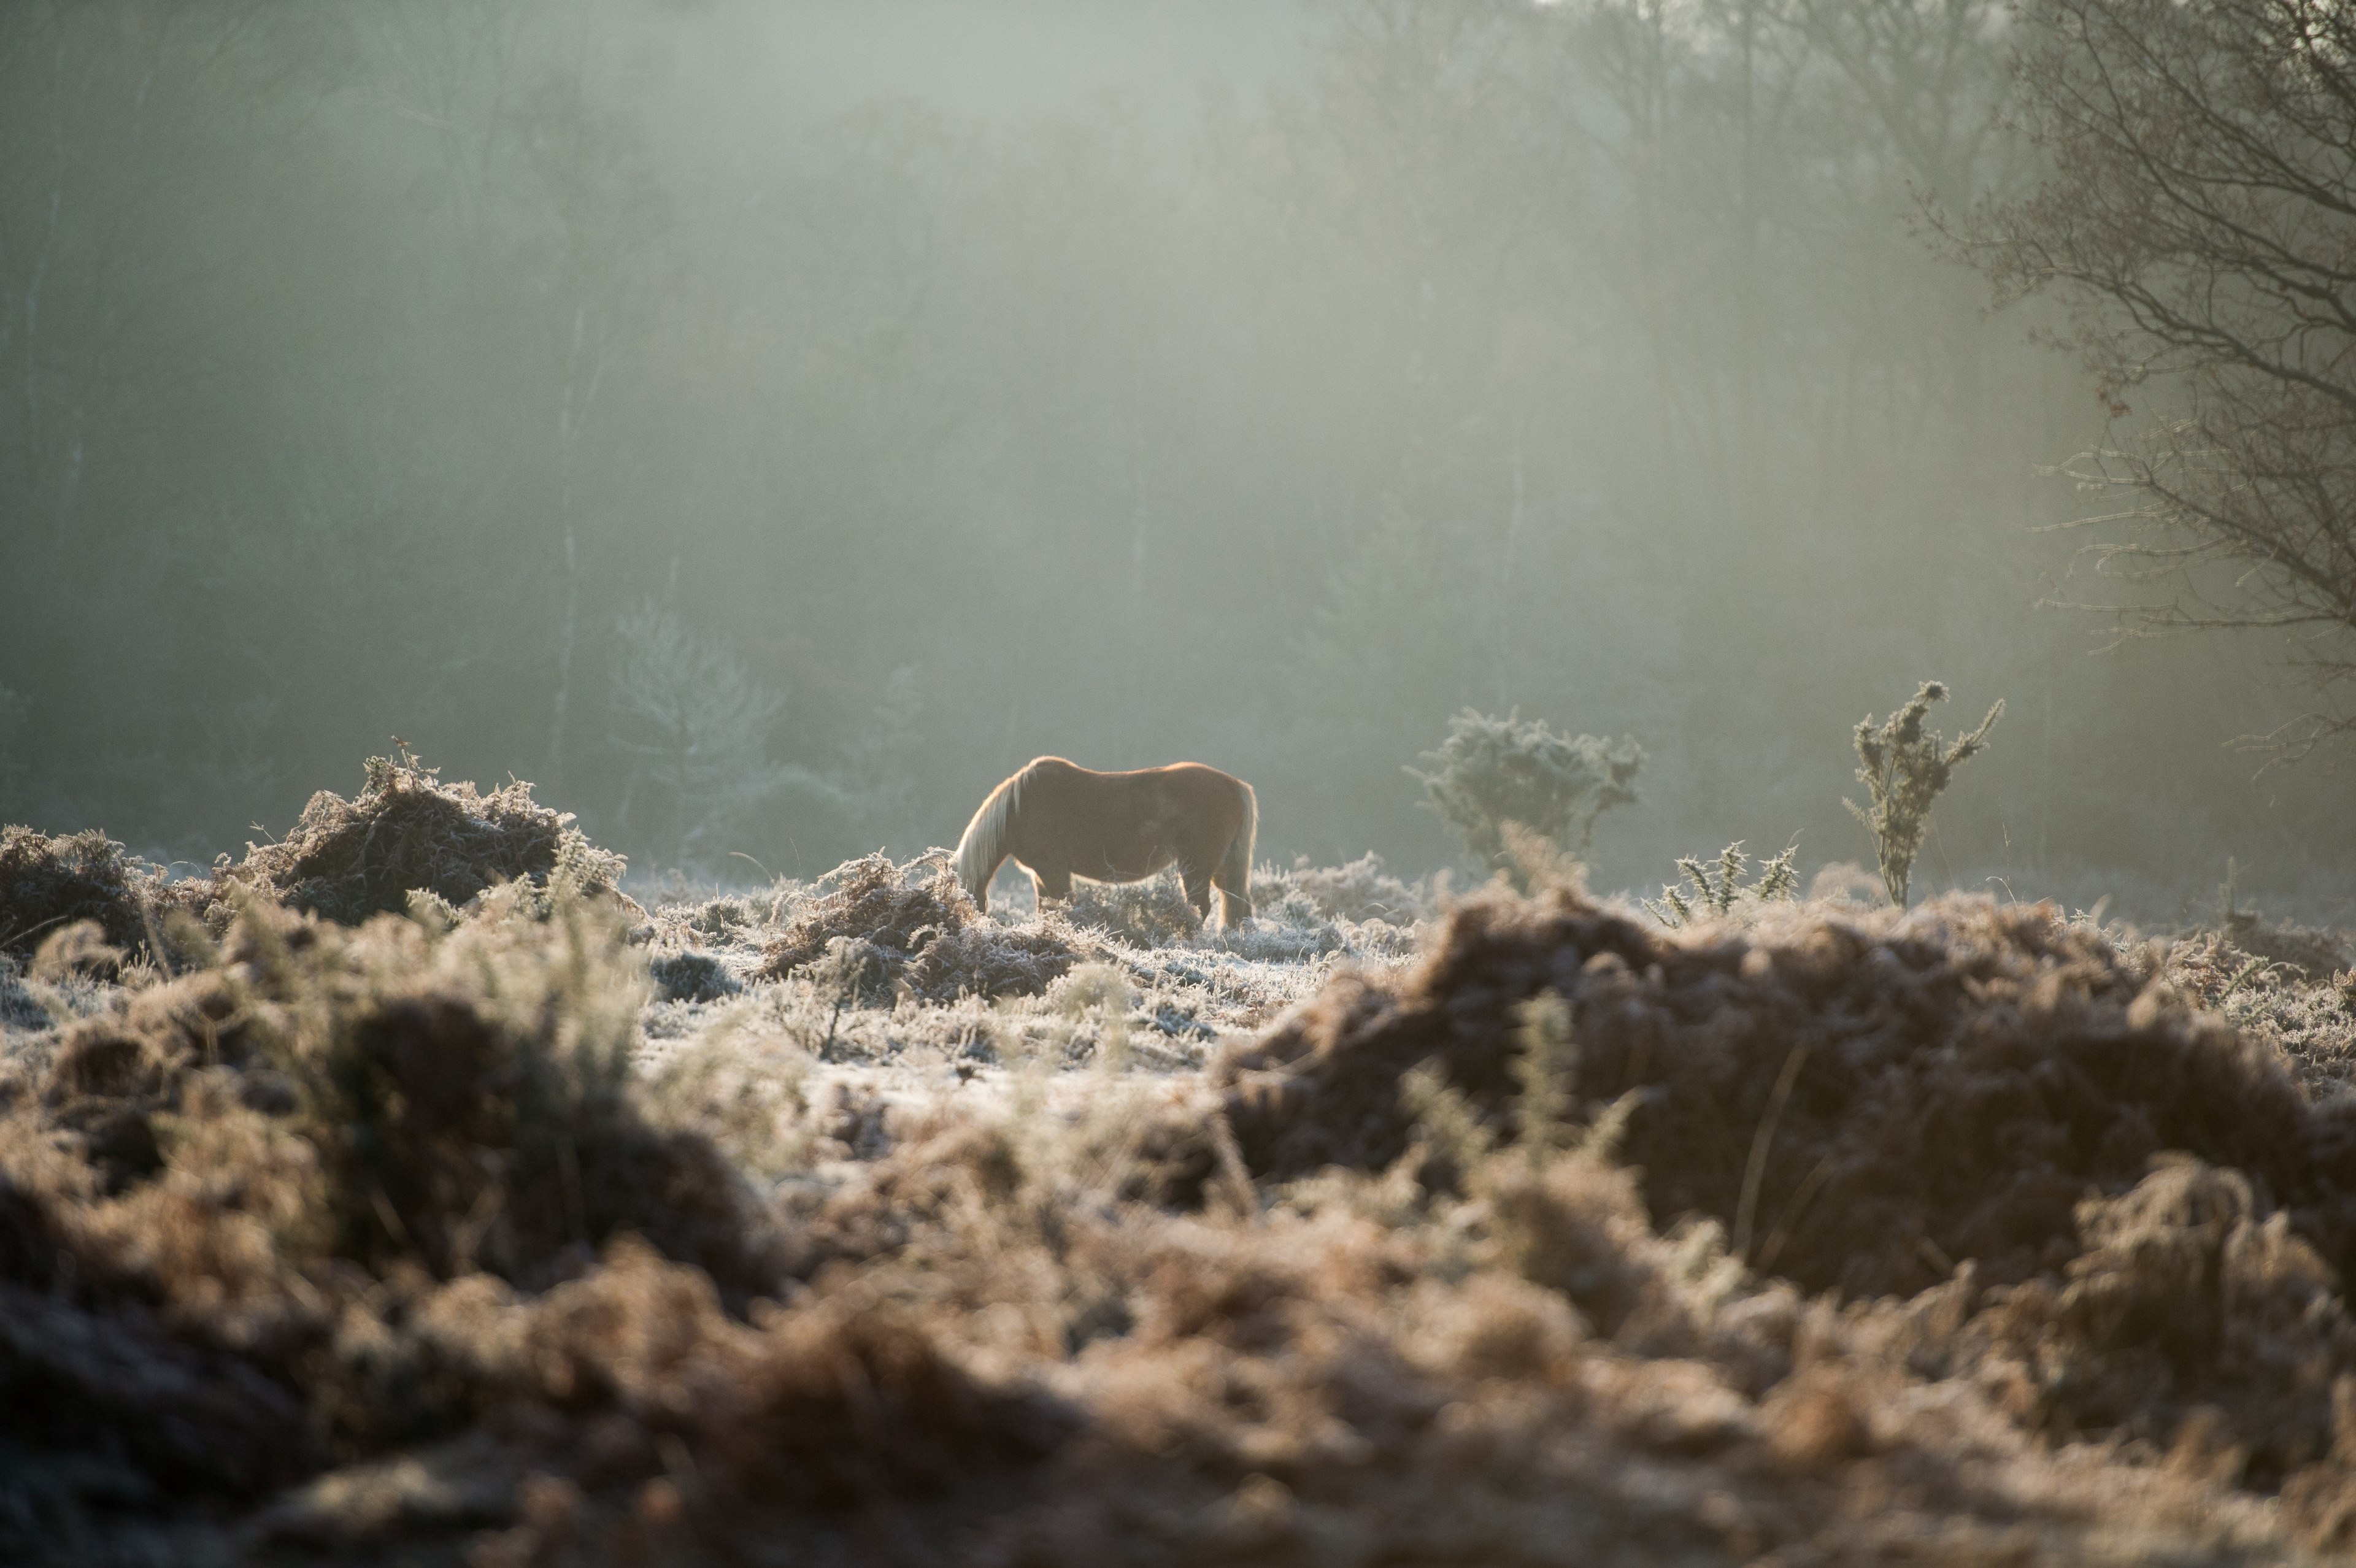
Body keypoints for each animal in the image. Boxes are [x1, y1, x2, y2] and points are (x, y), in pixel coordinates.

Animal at [953, 756, 1256, 929]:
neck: (1019, 808)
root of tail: (1237, 786)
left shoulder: (1054, 871)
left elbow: (1066, 907)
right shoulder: (1040, 875)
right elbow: (1047, 908)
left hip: (1196, 868)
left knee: (1201, 908)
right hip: (1221, 868)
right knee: (1239, 905)